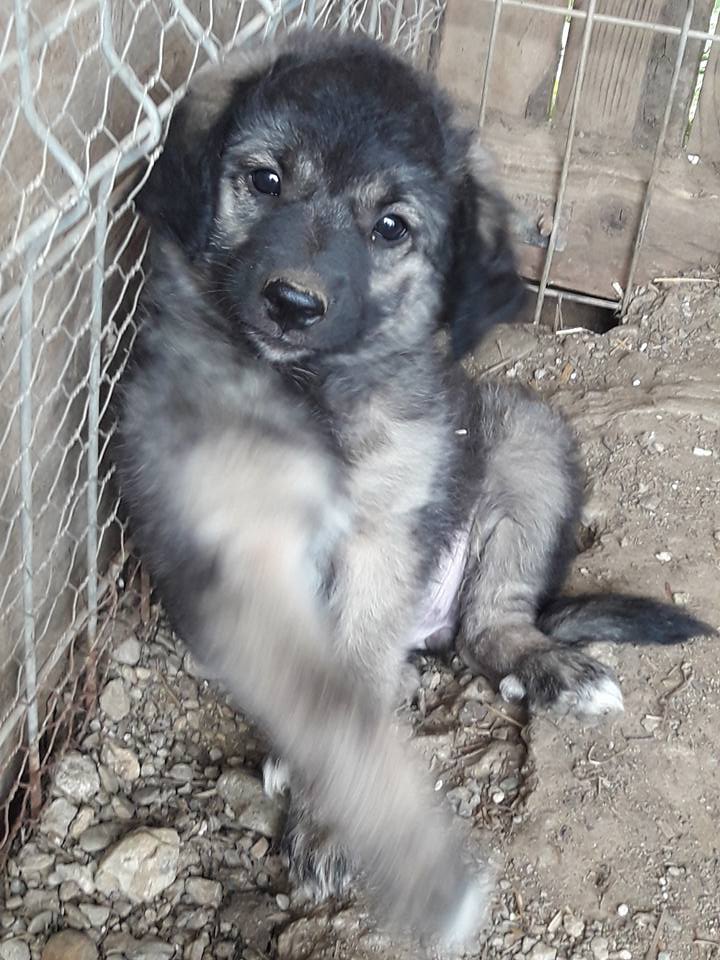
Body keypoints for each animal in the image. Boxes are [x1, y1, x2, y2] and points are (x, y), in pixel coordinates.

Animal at [115, 30, 709, 948]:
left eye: (390, 227)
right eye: (265, 180)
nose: (293, 302)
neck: (312, 391)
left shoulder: (386, 533)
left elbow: (359, 679)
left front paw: (336, 824)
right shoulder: (241, 543)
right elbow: (327, 706)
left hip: (524, 439)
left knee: (490, 626)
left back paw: (548, 668)